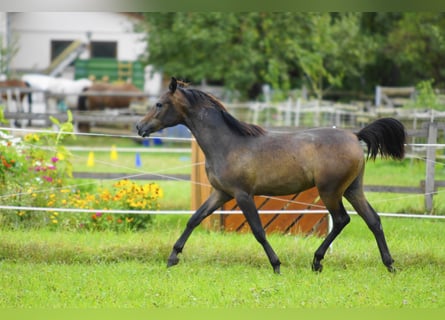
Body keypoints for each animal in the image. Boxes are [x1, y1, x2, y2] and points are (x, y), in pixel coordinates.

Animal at [135, 77, 406, 272]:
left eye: (159, 104)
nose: (139, 127)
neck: (227, 143)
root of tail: (354, 135)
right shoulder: (220, 193)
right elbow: (194, 219)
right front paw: (172, 258)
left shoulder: (243, 195)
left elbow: (258, 230)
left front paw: (276, 265)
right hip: (352, 189)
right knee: (373, 220)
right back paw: (389, 264)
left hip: (330, 191)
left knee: (342, 220)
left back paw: (317, 261)